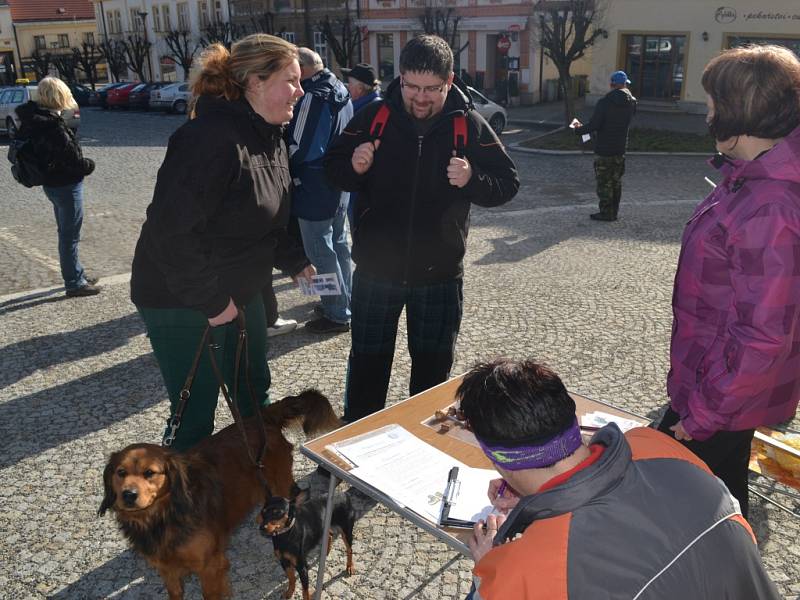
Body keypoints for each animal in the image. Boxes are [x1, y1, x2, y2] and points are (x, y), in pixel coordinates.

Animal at [97, 392, 340, 596]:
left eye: (150, 472)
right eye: (120, 472)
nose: (128, 495)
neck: (165, 515)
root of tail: (262, 417)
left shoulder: (210, 567)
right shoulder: (169, 572)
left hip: (280, 483)